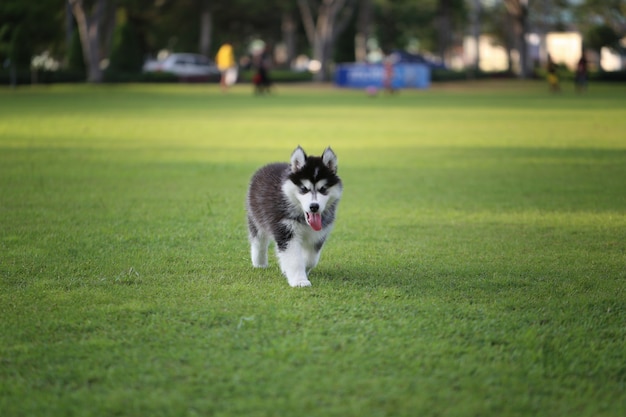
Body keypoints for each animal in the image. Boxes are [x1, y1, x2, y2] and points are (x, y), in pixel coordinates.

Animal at [245, 146, 342, 286]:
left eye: (323, 189)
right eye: (304, 189)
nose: (314, 206)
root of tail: (270, 165)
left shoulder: (319, 234)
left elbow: (311, 259)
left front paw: (301, 270)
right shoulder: (286, 230)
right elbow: (294, 258)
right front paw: (299, 280)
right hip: (256, 218)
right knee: (259, 242)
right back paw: (259, 263)